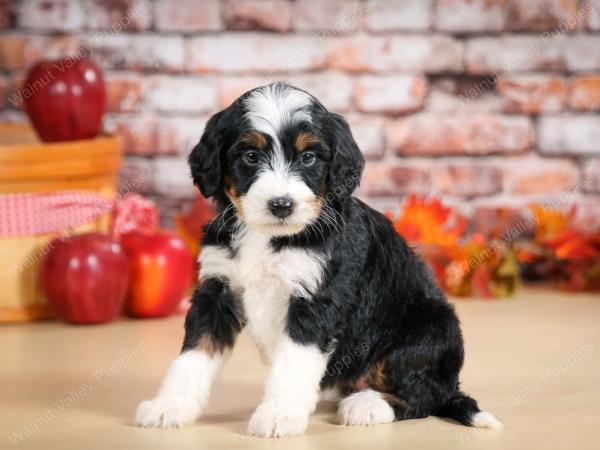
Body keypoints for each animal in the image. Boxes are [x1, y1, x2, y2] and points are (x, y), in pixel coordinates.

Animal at [135, 81, 502, 436]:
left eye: (309, 157)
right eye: (251, 156)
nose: (281, 205)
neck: (269, 238)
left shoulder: (317, 298)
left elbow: (293, 362)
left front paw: (278, 414)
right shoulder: (216, 287)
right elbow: (194, 353)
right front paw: (169, 405)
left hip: (429, 329)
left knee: (424, 394)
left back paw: (367, 405)